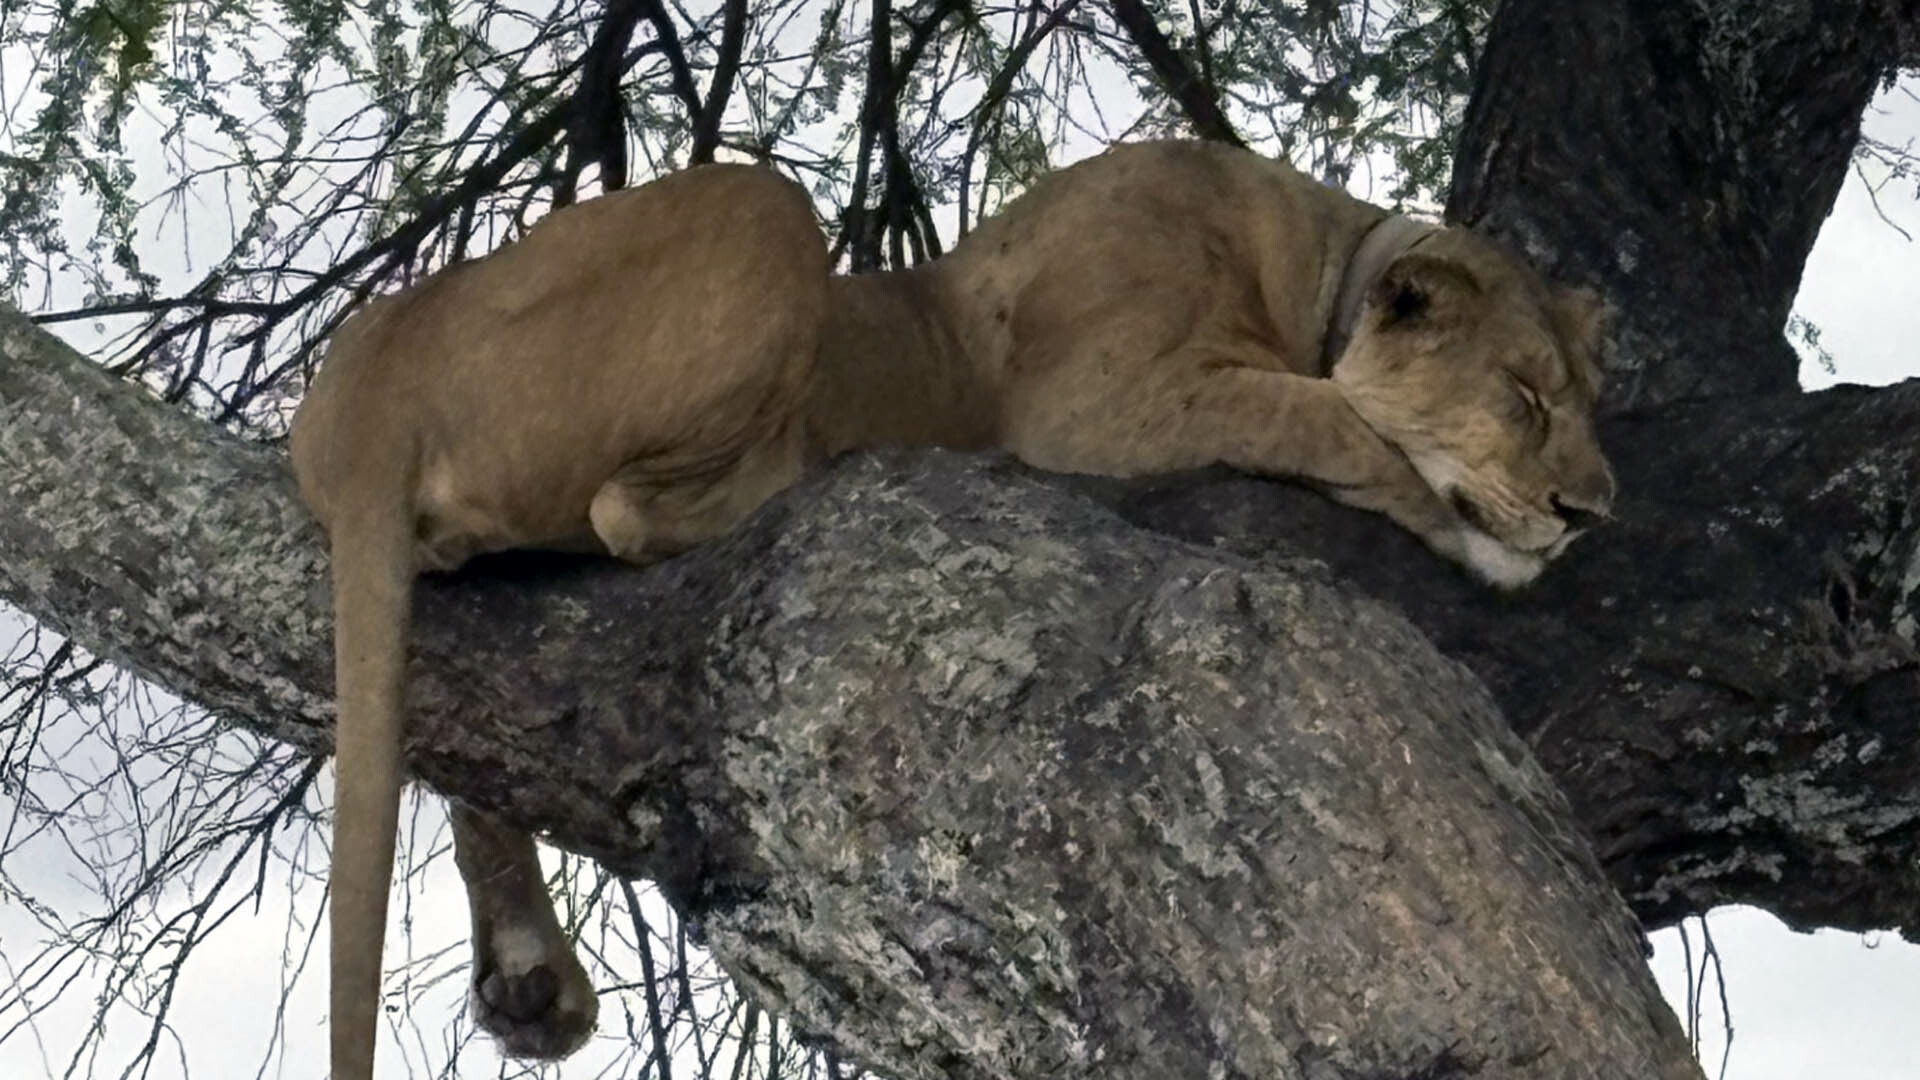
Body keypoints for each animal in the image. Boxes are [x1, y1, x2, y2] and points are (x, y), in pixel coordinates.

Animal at [290, 139, 1613, 1078]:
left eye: (1584, 401)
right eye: (1525, 396)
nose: (1591, 509)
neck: (1318, 273)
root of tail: (369, 366)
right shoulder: (1095, 405)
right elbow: (1335, 419)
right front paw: (1467, 521)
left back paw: (528, 980)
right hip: (760, 205)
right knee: (624, 511)